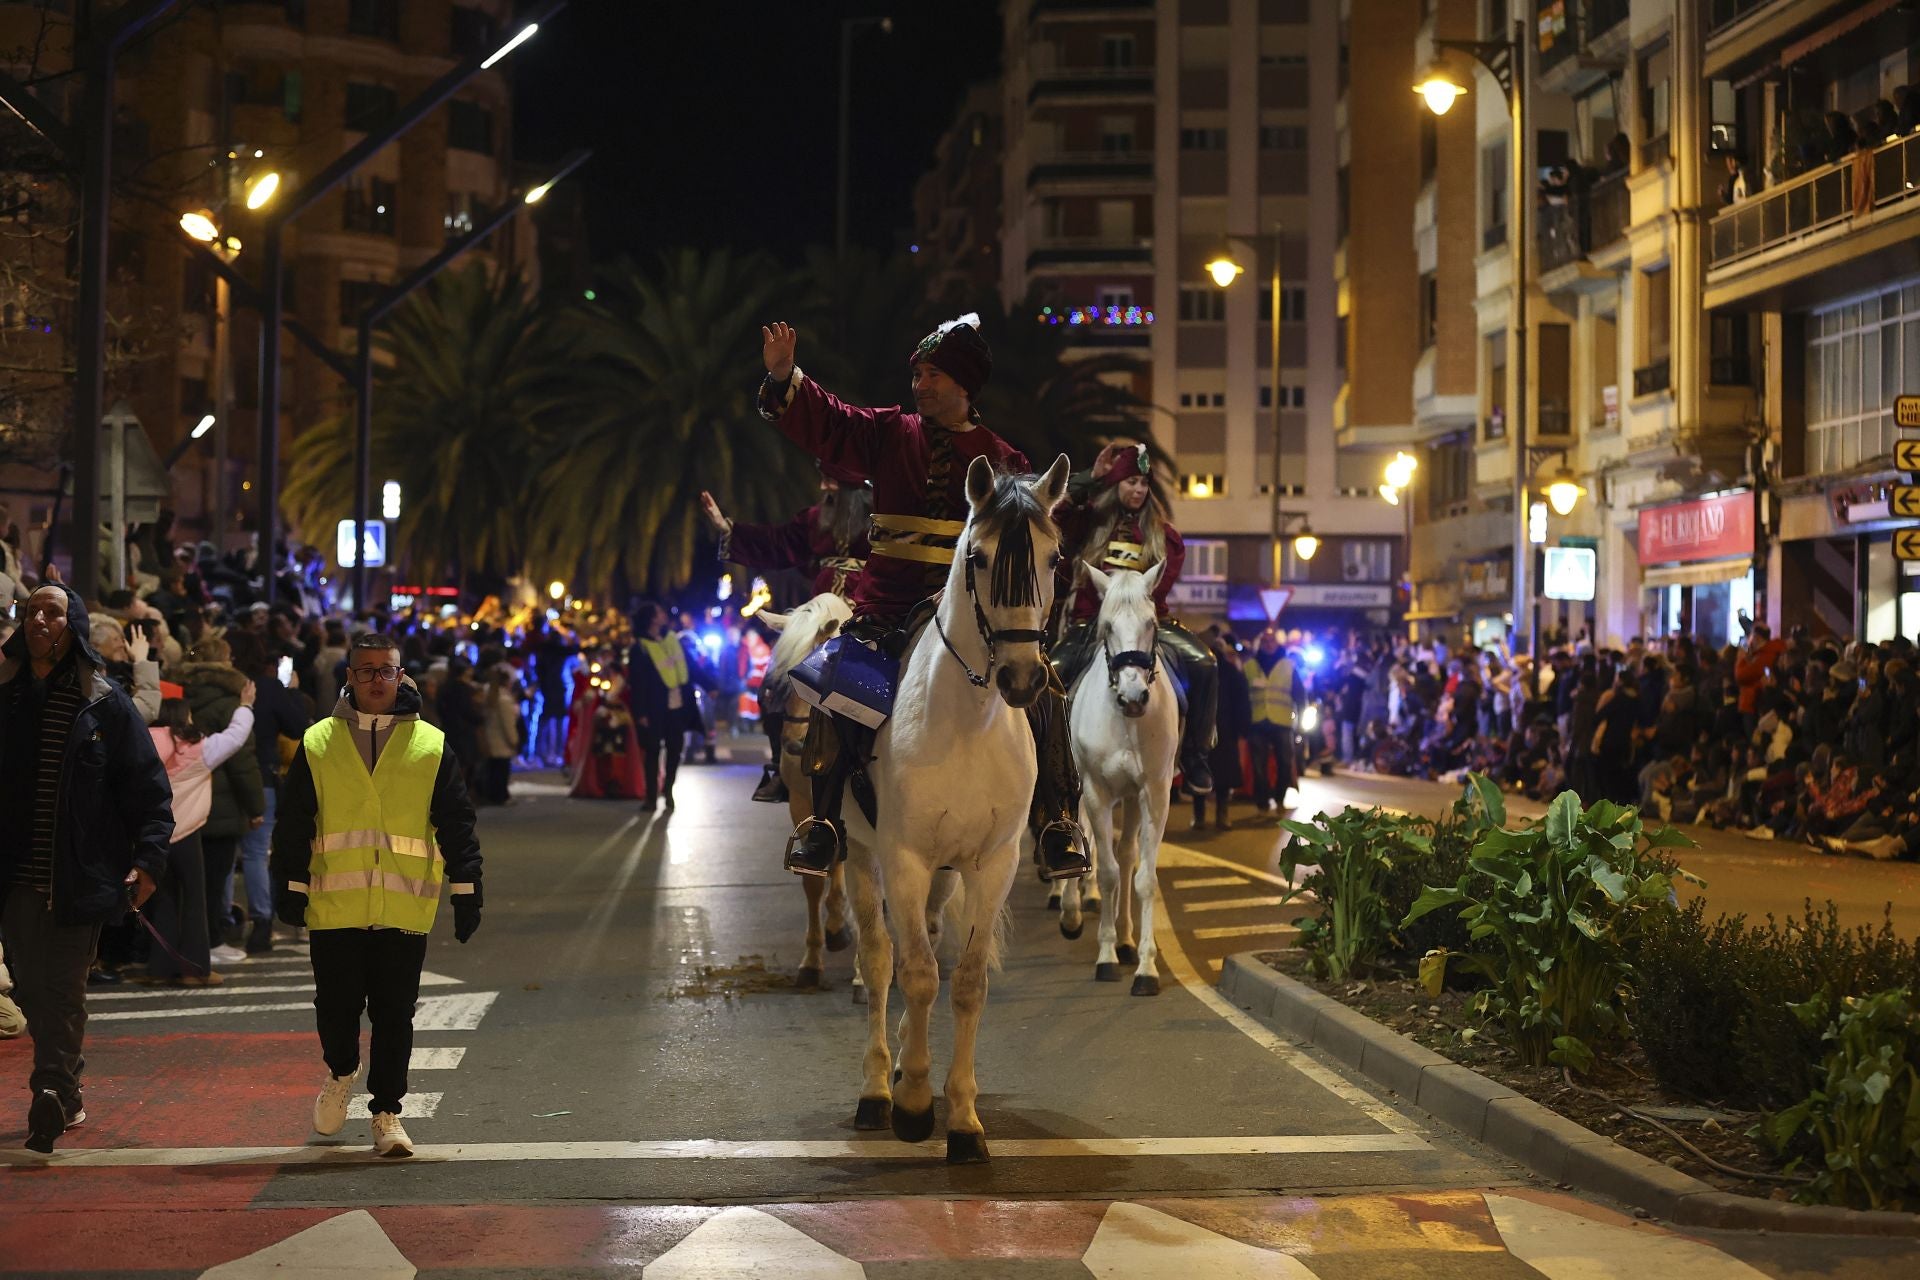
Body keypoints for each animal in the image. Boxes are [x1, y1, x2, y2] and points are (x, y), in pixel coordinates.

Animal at [844, 454, 1075, 1166]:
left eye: (1054, 557)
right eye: (979, 556)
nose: (1023, 680)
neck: (967, 723)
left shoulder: (990, 863)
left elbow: (967, 982)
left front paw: (966, 1119)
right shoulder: (904, 859)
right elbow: (918, 974)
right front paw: (917, 1104)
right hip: (858, 854)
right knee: (879, 958)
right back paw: (877, 1087)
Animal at [1059, 564, 1175, 997]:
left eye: (1151, 623)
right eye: (1106, 626)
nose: (1133, 696)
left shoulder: (1153, 793)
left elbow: (1142, 877)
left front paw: (1144, 965)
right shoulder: (1096, 792)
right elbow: (1105, 871)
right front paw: (1106, 955)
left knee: (1126, 856)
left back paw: (1126, 939)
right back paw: (1072, 914)